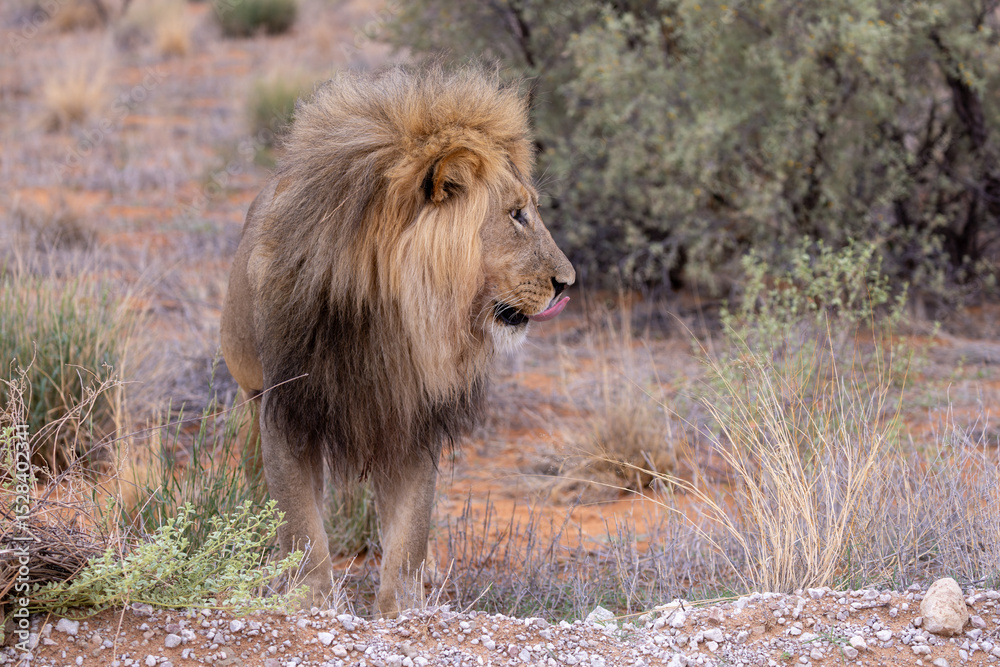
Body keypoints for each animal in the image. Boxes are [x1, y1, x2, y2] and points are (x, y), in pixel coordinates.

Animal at [220, 65, 575, 617]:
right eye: (517, 214)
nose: (568, 282)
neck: (390, 314)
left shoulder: (413, 417)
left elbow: (410, 531)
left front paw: (403, 609)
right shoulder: (288, 409)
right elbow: (300, 525)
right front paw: (310, 602)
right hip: (249, 391)